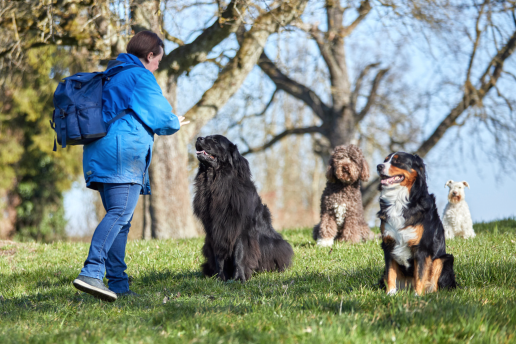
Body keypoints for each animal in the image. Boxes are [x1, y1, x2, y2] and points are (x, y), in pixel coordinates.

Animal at [192, 134, 292, 282]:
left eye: (215, 140)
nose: (199, 138)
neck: (217, 181)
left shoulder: (241, 229)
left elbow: (239, 254)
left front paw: (239, 277)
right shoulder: (215, 231)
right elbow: (218, 257)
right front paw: (220, 277)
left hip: (275, 244)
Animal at [374, 153, 456, 296]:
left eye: (397, 161)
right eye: (385, 160)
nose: (379, 166)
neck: (399, 201)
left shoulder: (422, 248)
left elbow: (420, 274)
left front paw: (417, 296)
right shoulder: (388, 245)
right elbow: (390, 273)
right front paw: (390, 294)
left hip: (443, 259)